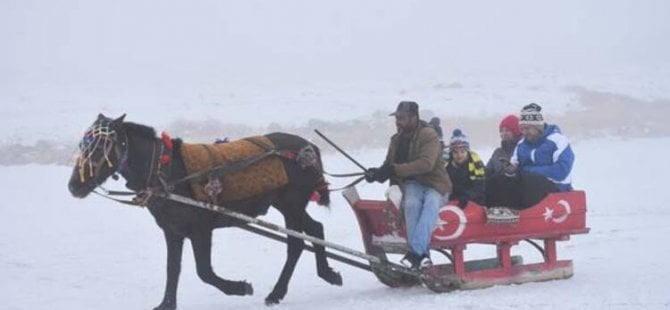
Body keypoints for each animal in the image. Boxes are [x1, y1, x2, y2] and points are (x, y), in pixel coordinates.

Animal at [67, 114, 342, 308]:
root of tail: (308, 149)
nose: (74, 186)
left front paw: (239, 288)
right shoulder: (172, 231)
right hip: (287, 205)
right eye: (83, 145)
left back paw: (280, 290)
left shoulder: (200, 231)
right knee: (314, 230)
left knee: (297, 243)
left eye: (103, 146)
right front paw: (166, 305)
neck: (166, 173)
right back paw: (324, 275)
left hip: (291, 205)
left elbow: (204, 272)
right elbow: (173, 269)